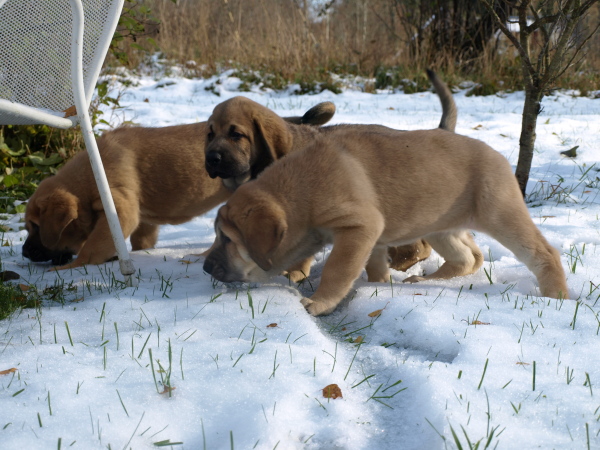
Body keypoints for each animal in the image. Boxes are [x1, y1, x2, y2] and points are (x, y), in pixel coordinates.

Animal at [204, 125, 568, 316]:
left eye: (228, 239)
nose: (206, 268)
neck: (298, 192)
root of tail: (498, 155)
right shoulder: (371, 237)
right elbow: (374, 265)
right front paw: (380, 285)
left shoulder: (358, 227)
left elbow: (338, 270)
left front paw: (319, 302)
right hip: (440, 226)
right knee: (467, 257)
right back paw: (425, 280)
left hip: (500, 213)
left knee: (544, 254)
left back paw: (556, 297)